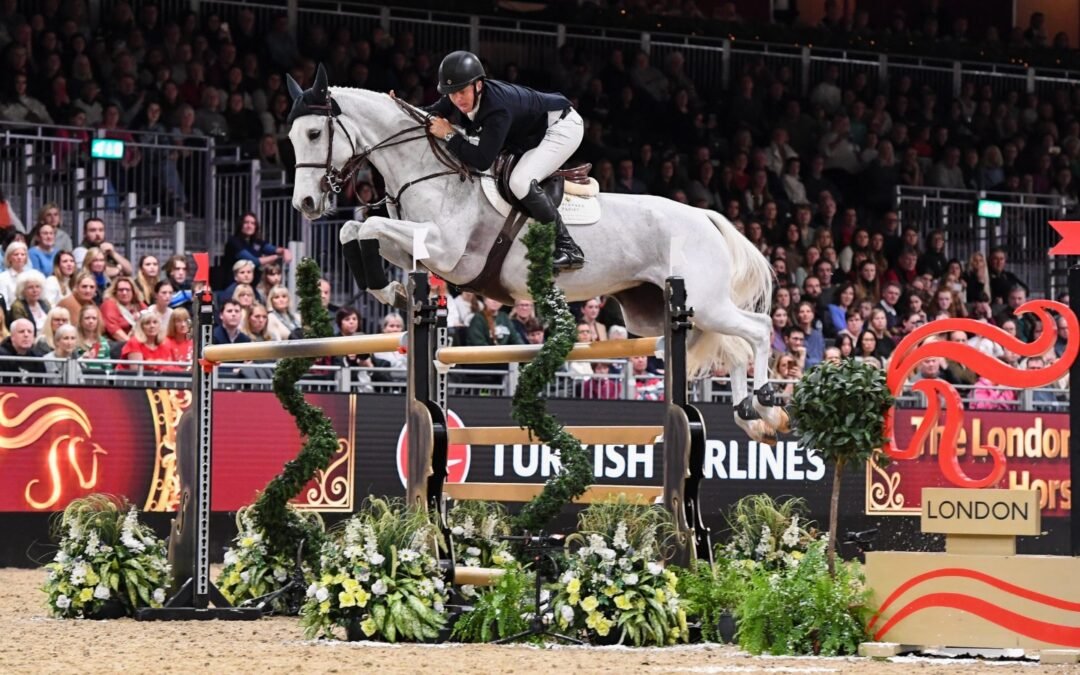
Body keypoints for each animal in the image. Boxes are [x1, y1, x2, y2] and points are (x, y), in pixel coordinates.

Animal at [286, 66, 786, 441]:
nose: (305, 204)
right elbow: (354, 228)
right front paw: (395, 293)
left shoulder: (446, 251)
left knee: (757, 331)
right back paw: (750, 414)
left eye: (313, 133)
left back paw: (765, 401)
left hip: (701, 300)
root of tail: (704, 216)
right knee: (735, 346)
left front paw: (395, 291)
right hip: (657, 313)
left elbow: (367, 224)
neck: (428, 171)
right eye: (289, 139)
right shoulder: (420, 248)